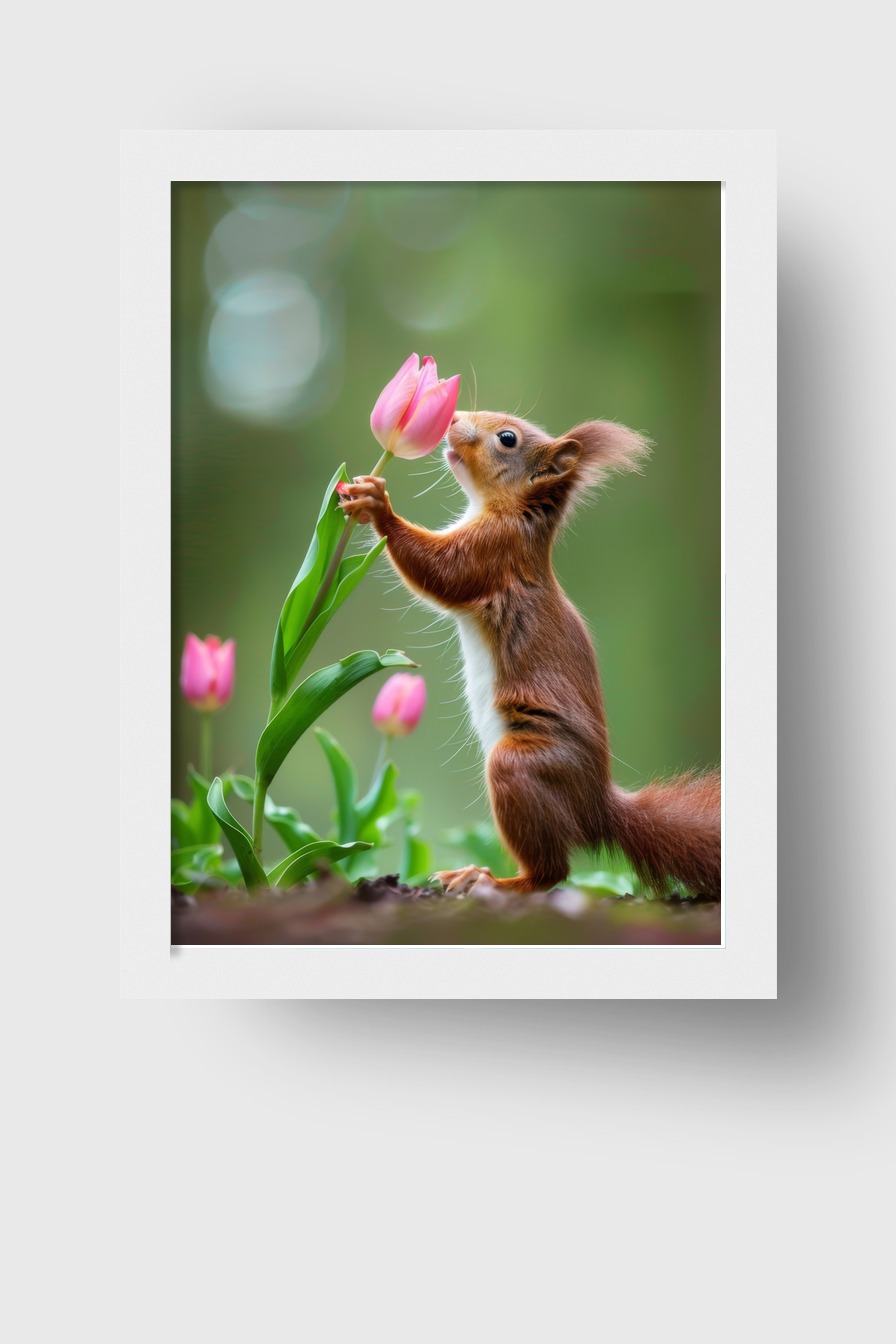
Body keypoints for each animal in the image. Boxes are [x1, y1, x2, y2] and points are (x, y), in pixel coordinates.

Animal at [338, 410, 721, 899]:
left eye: (507, 439)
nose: (455, 417)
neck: (512, 513)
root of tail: (597, 810)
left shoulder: (494, 551)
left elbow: (443, 570)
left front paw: (378, 506)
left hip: (521, 768)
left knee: (552, 873)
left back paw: (492, 881)